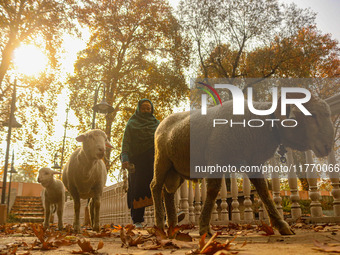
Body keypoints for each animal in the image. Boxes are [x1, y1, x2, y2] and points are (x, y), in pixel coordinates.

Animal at [150, 93, 334, 235]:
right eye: (312, 115)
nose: (328, 146)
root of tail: (163, 122)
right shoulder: (216, 157)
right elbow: (213, 191)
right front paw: (204, 228)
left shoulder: (254, 164)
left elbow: (264, 192)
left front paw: (281, 225)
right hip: (162, 160)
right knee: (155, 187)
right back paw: (160, 226)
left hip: (177, 169)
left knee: (168, 192)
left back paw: (173, 226)